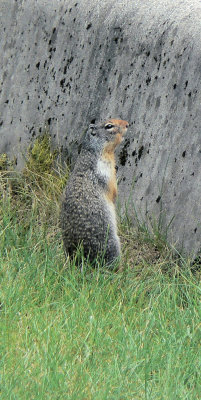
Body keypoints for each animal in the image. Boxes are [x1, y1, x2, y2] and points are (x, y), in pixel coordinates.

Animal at [60, 119, 129, 268]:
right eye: (109, 126)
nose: (127, 124)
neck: (94, 152)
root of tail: (80, 260)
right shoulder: (105, 170)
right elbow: (112, 190)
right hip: (112, 244)